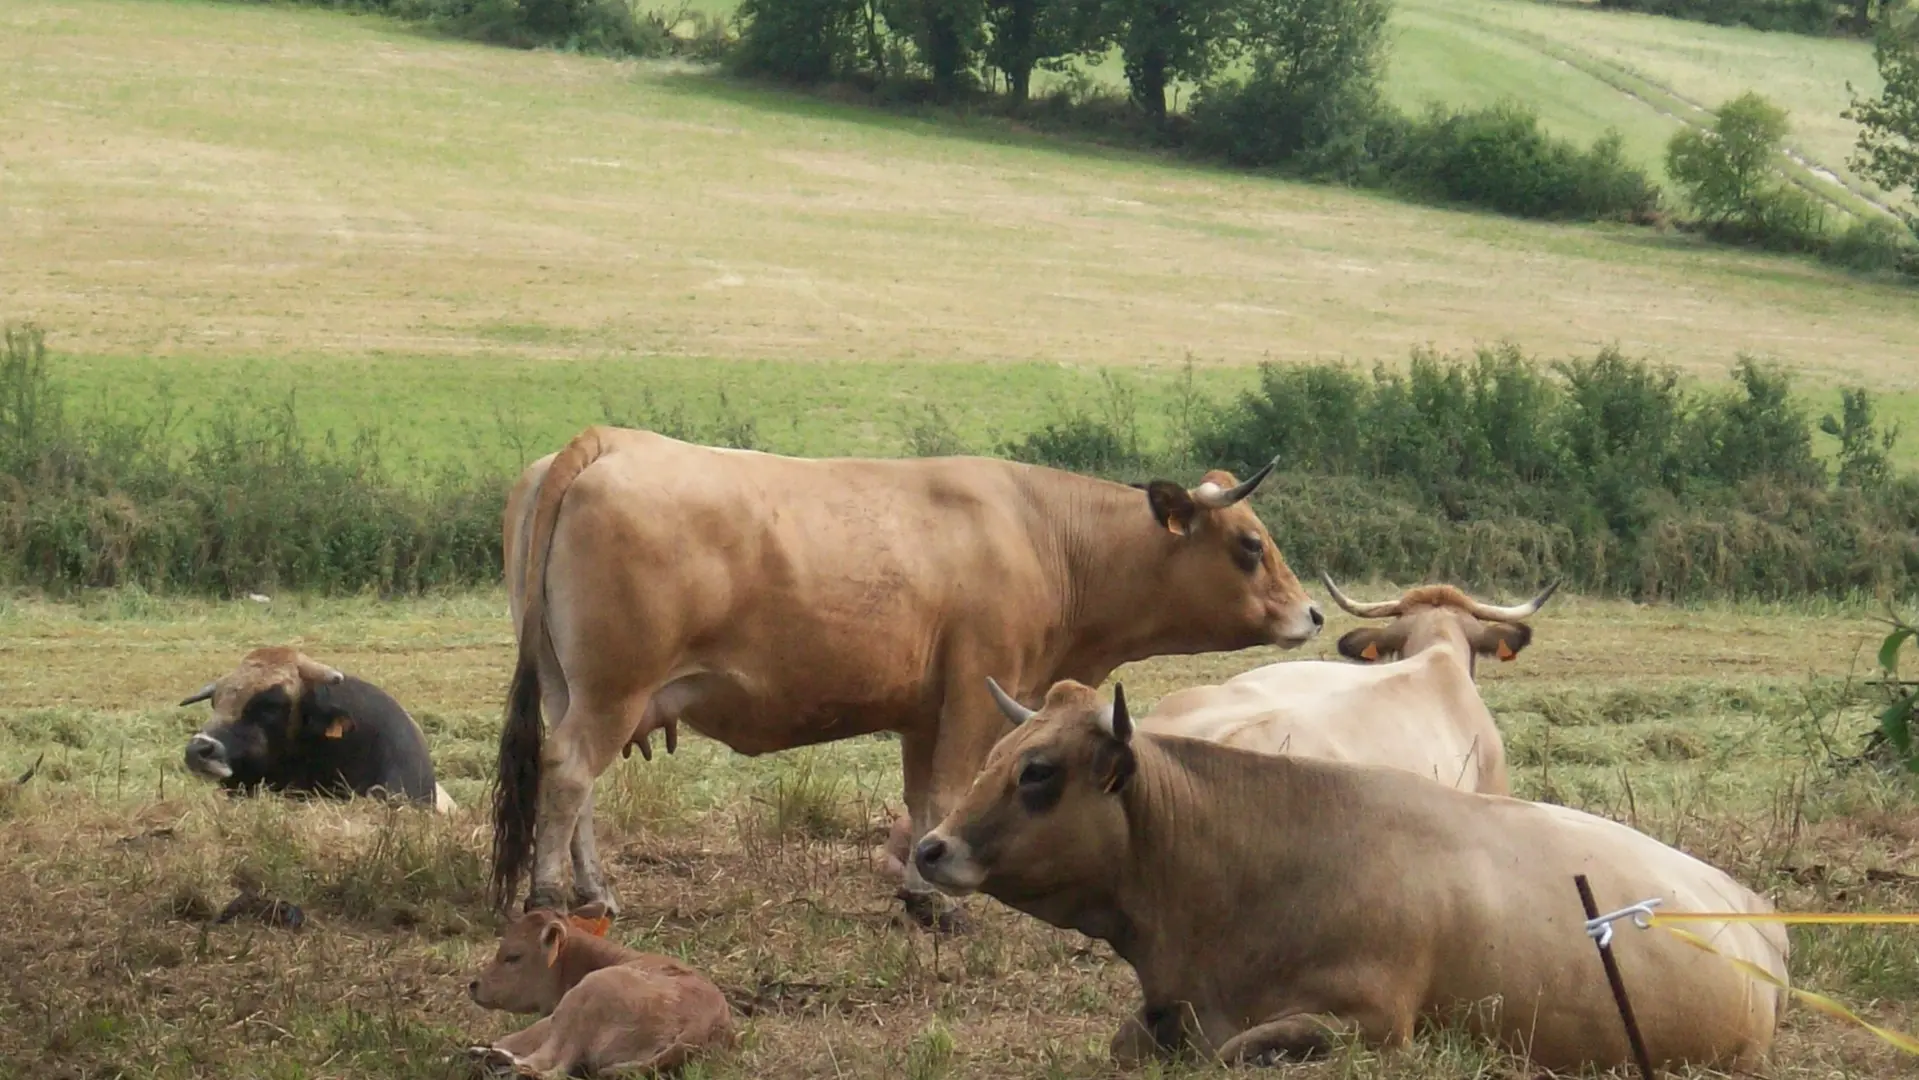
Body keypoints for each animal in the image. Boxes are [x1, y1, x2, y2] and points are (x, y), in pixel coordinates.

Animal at [487, 427, 1327, 924]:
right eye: (1250, 545)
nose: (1312, 614)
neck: (1047, 535)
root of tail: (607, 442)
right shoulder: (977, 691)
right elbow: (950, 793)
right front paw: (942, 903)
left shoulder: (925, 712)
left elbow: (924, 799)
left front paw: (920, 892)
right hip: (611, 691)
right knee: (569, 772)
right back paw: (549, 895)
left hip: (578, 689)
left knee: (578, 785)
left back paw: (596, 891)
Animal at [913, 679, 1780, 1066]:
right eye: (993, 755)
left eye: (1036, 772)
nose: (930, 848)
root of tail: (1752, 907)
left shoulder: (1369, 1023)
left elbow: (1231, 1054)